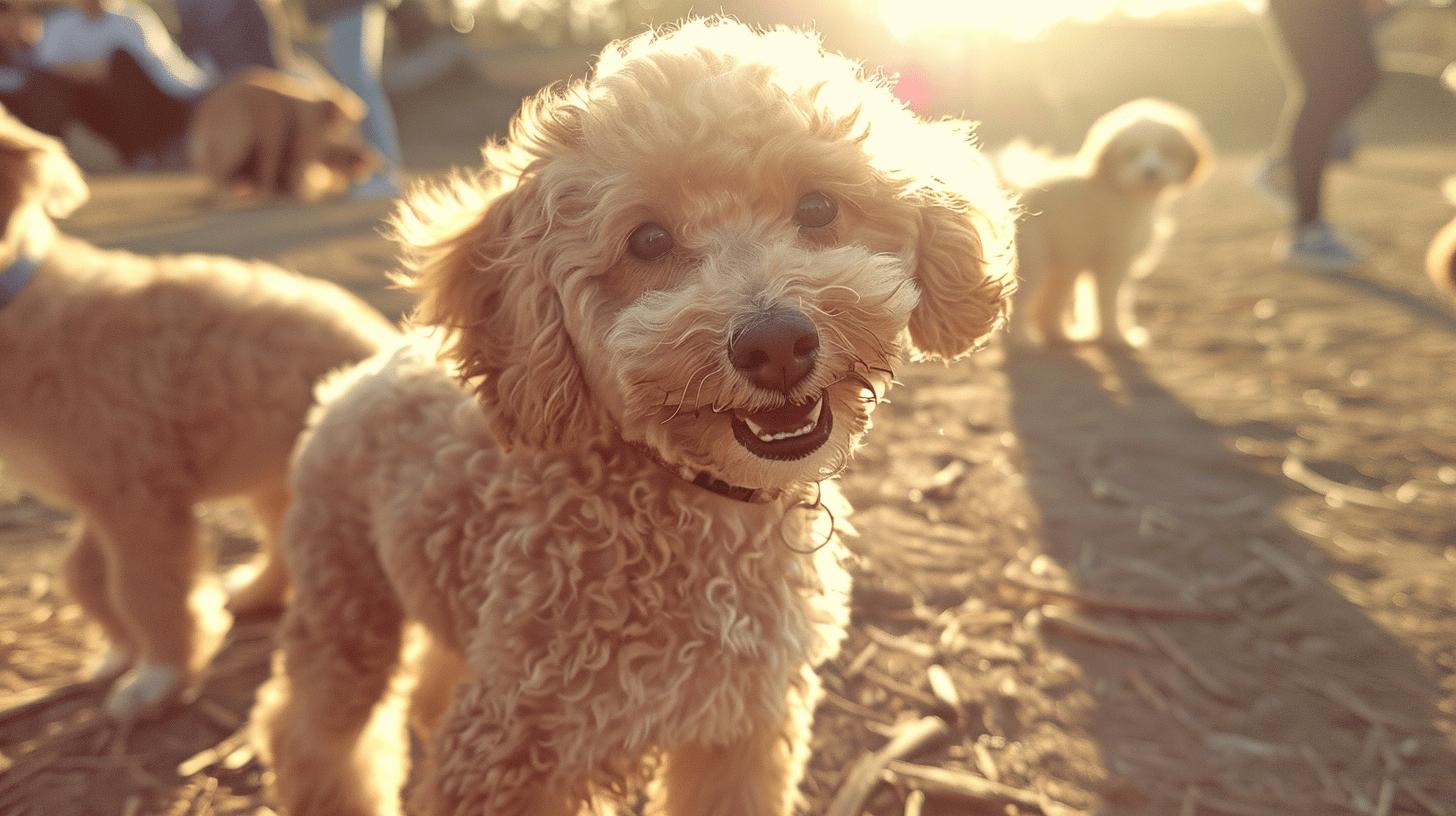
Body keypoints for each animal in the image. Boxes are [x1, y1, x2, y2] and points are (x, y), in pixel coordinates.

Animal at [0, 103, 398, 719]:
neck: (20, 301)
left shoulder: (136, 496)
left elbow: (145, 586)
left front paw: (156, 680)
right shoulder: (100, 492)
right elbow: (84, 575)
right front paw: (117, 653)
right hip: (275, 476)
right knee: (280, 542)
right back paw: (251, 593)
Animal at [187, 68, 378, 205]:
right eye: (346, 134)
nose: (374, 160)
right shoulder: (300, 147)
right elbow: (298, 176)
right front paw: (308, 194)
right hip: (241, 137)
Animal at [250, 19, 1019, 816]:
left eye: (817, 208)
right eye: (647, 240)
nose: (775, 344)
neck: (693, 498)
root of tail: (371, 363)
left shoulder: (740, 726)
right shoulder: (508, 744)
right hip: (348, 600)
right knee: (306, 724)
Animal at [1001, 99, 1217, 346]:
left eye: (1166, 150)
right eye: (1132, 153)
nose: (1150, 171)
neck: (1124, 193)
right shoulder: (1114, 261)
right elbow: (1111, 302)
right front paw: (1118, 337)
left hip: (1063, 266)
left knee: (1048, 307)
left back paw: (1062, 335)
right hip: (1034, 262)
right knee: (1018, 302)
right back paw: (1022, 342)